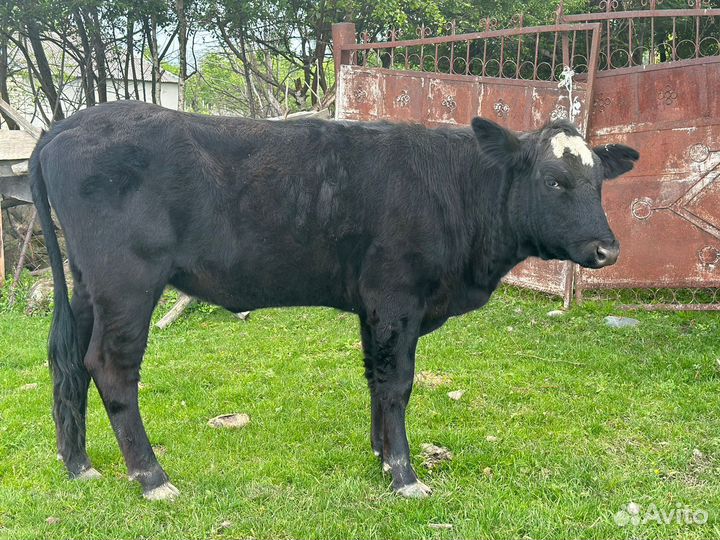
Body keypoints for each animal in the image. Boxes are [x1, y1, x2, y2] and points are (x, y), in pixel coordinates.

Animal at [30, 100, 638, 500]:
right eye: (555, 180)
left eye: (600, 182)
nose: (607, 249)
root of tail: (69, 122)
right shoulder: (396, 296)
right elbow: (397, 383)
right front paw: (405, 474)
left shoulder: (373, 305)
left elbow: (375, 377)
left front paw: (381, 455)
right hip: (127, 282)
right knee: (110, 367)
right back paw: (152, 478)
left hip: (88, 286)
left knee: (67, 360)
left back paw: (79, 465)